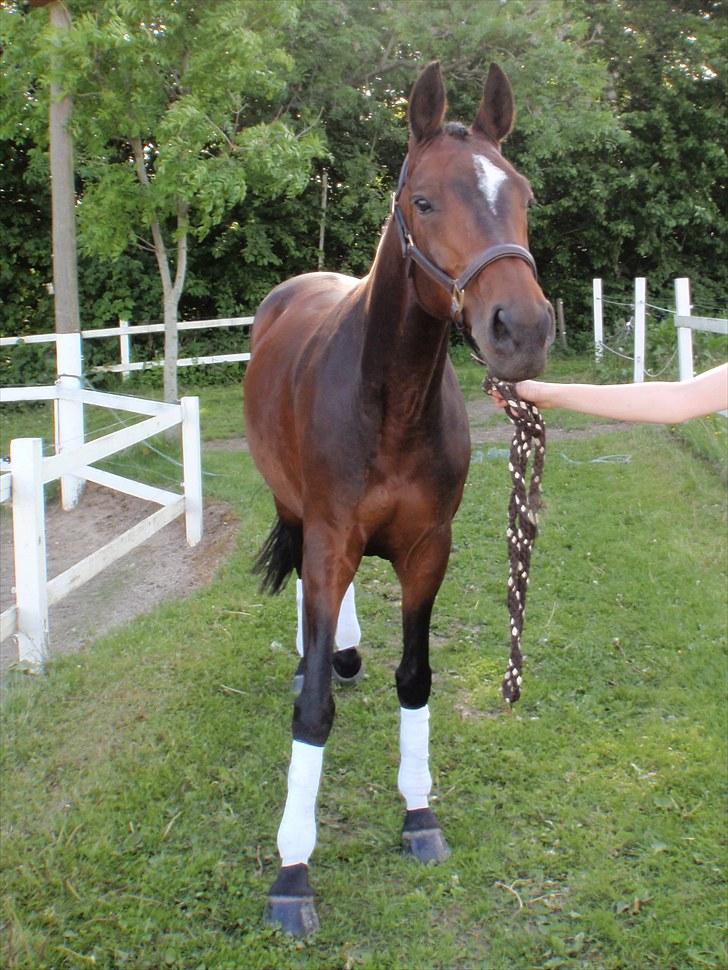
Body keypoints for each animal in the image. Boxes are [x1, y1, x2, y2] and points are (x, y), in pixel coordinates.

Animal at [243, 58, 552, 932]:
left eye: (522, 193)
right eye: (424, 201)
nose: (522, 329)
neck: (388, 400)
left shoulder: (426, 550)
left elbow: (414, 678)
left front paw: (418, 814)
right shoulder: (329, 536)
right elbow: (313, 710)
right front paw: (293, 869)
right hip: (297, 512)